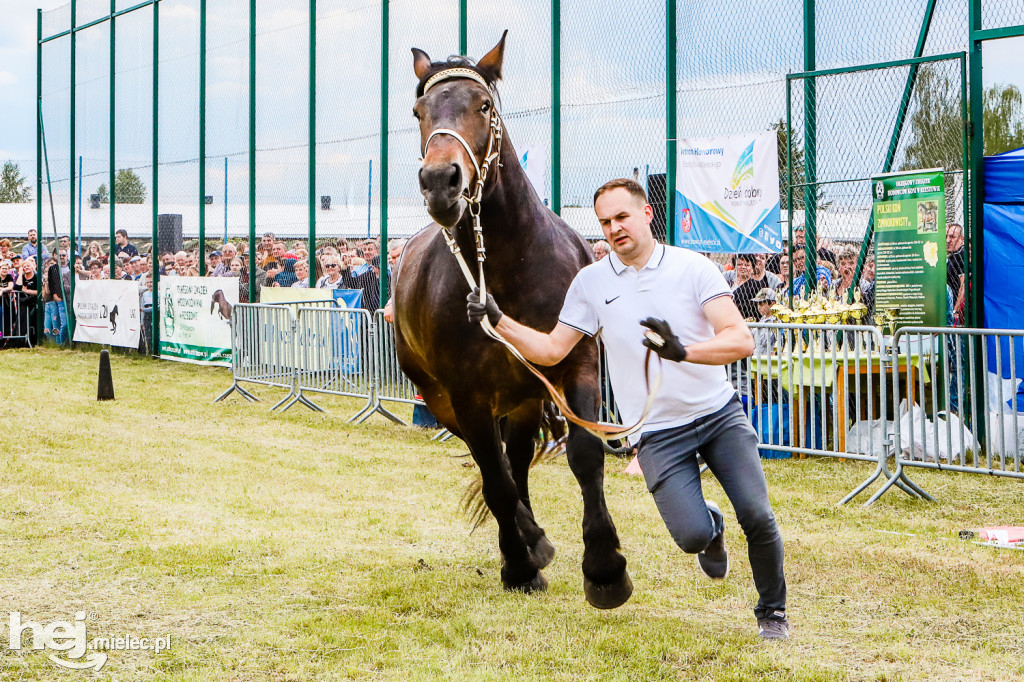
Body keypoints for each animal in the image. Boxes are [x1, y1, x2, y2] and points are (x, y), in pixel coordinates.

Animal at [391, 33, 630, 606]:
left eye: (484, 106)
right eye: (418, 112)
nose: (440, 181)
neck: (510, 262)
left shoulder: (573, 363)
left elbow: (585, 454)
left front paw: (605, 567)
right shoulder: (466, 395)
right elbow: (495, 479)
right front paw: (522, 563)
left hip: (523, 397)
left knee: (515, 457)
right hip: (448, 401)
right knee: (495, 466)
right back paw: (524, 546)